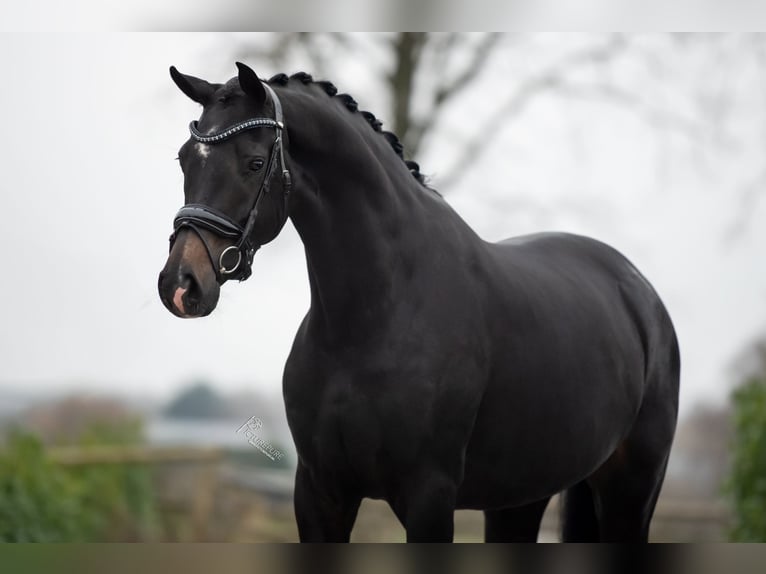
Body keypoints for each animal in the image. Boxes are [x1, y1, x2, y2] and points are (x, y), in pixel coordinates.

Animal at [159, 64, 680, 544]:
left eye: (252, 162)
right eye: (185, 159)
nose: (180, 285)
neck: (373, 320)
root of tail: (640, 294)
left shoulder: (429, 496)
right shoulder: (319, 492)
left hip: (630, 493)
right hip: (520, 498)